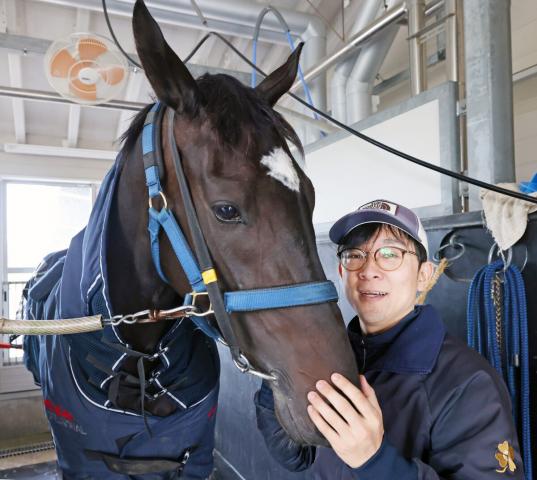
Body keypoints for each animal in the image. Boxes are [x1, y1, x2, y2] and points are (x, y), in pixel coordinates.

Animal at [21, 1, 356, 478]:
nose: (341, 396)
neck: (138, 354)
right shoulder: (83, 459)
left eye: (308, 196)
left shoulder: (193, 450)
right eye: (226, 209)